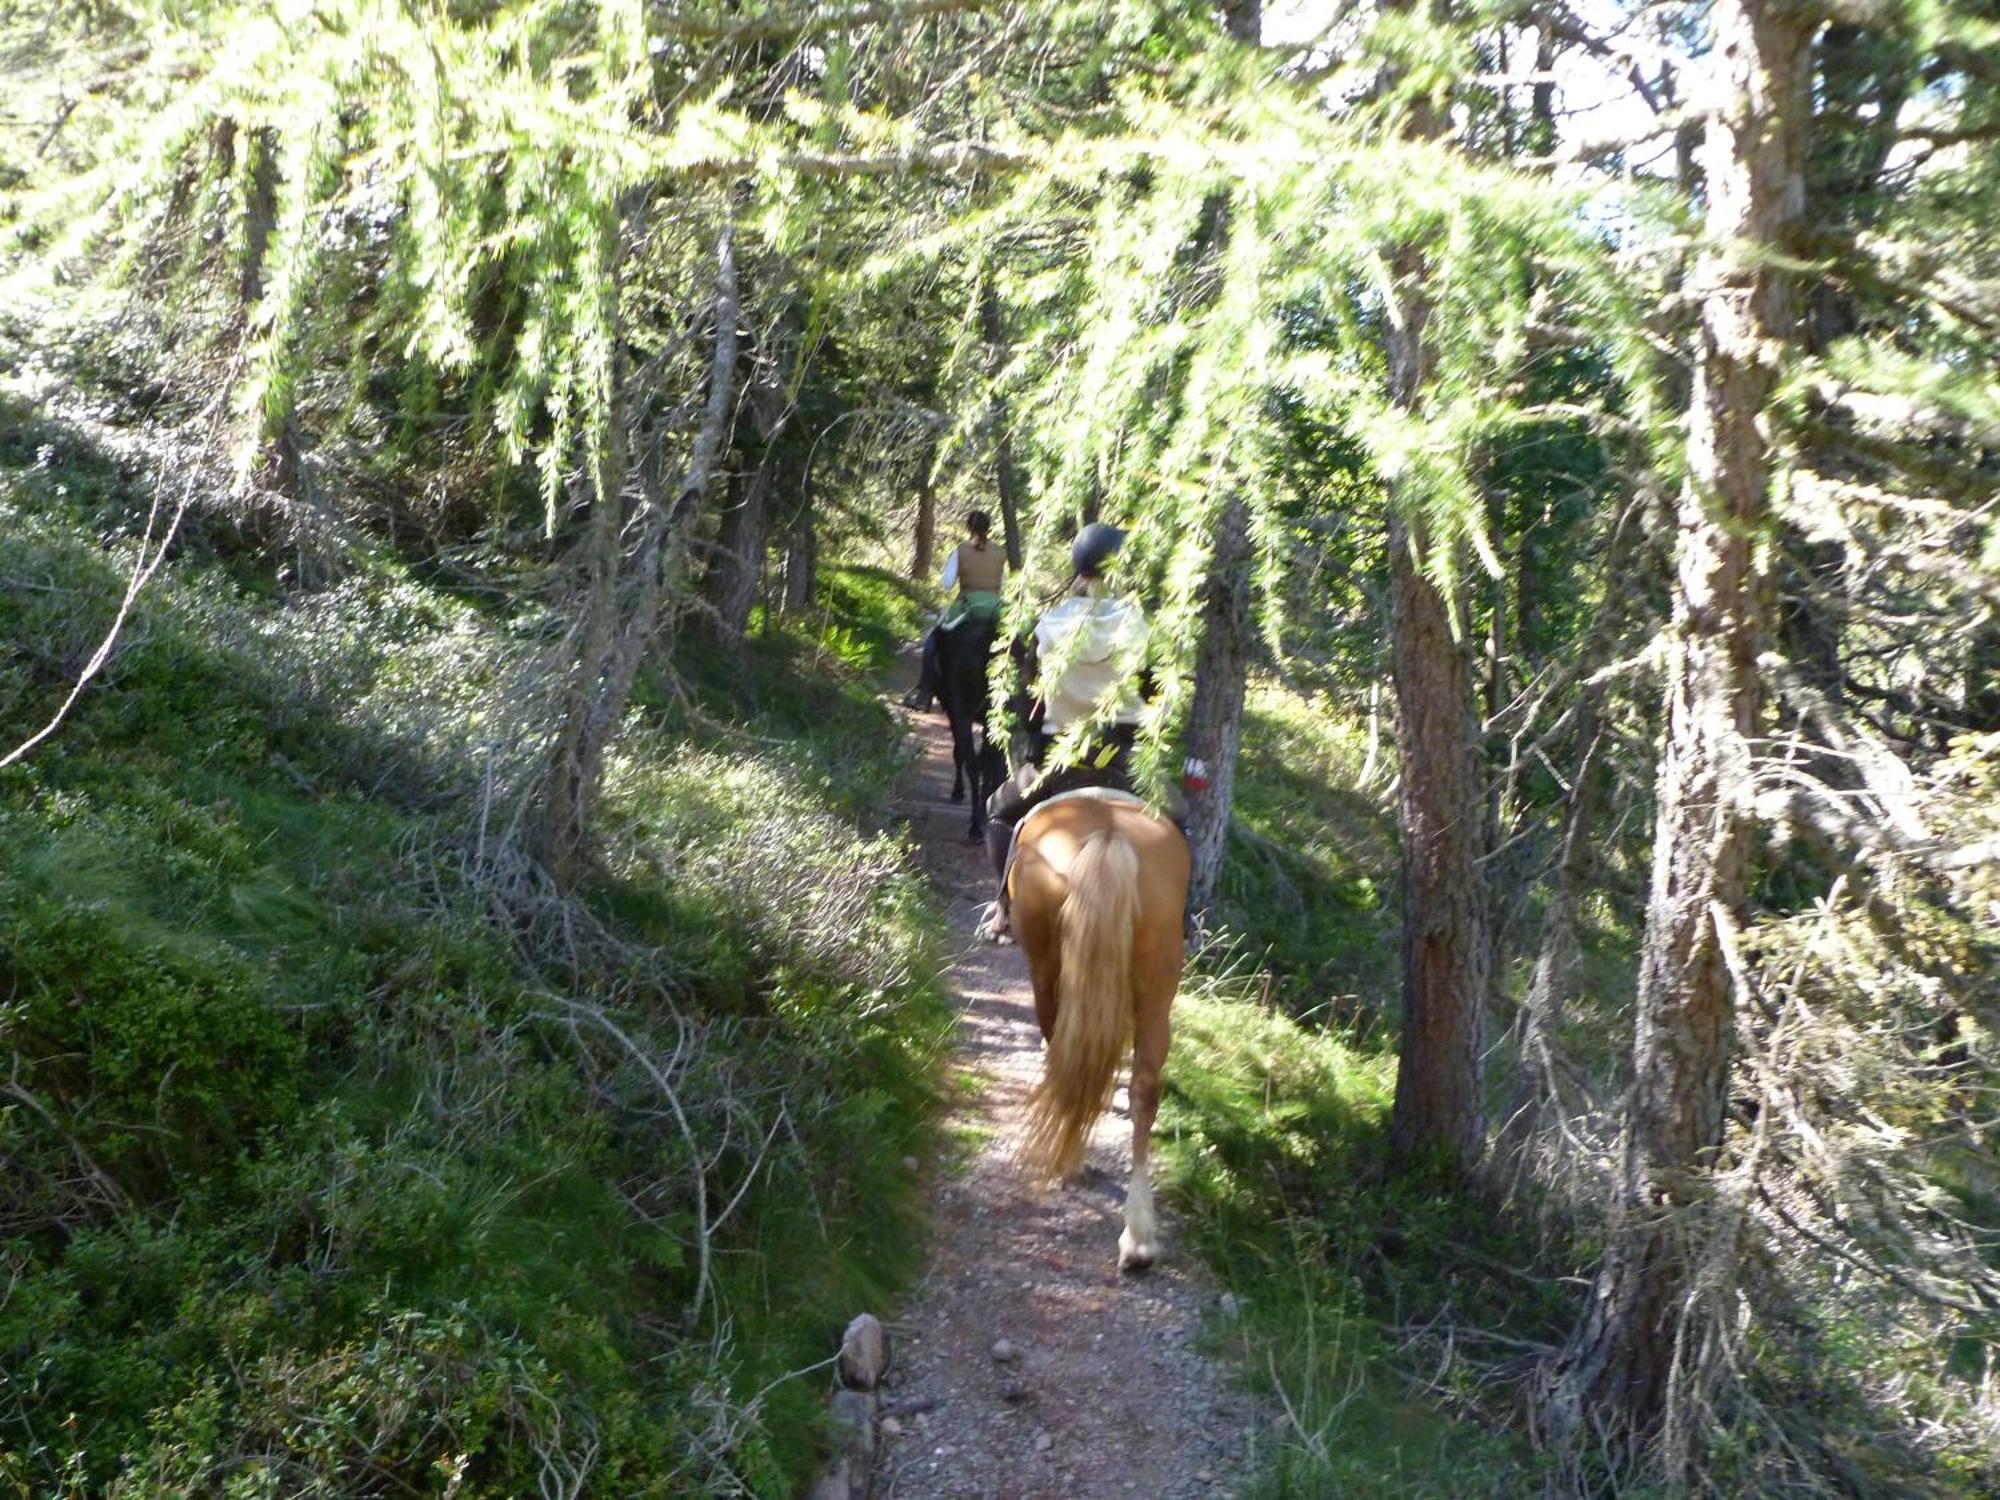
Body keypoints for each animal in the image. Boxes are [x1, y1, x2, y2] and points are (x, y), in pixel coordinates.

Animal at [1016, 792, 1184, 1272]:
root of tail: (1110, 836)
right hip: (1158, 985)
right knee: (1144, 1087)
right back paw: (1139, 1238)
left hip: (1047, 971)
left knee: (1064, 1055)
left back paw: (1070, 1160)